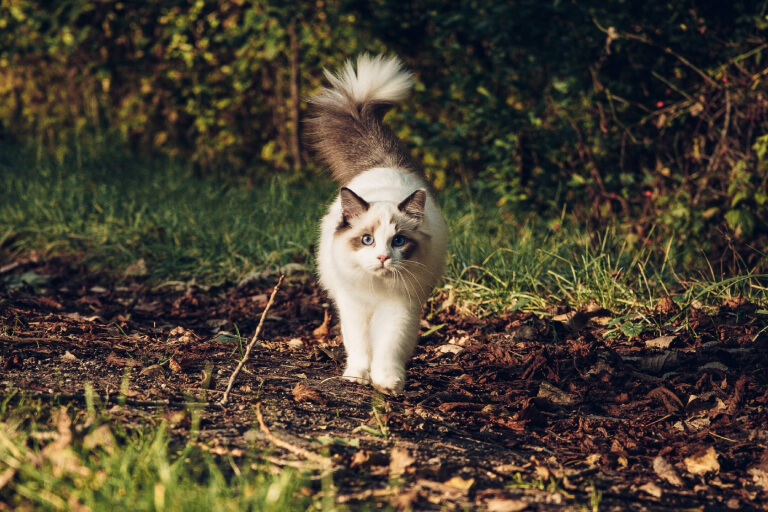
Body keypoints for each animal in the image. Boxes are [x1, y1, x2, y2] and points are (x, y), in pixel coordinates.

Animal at [308, 54, 450, 394]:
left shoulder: (400, 308)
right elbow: (359, 347)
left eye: (398, 241)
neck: (378, 289)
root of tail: (386, 164)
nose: (383, 257)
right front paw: (357, 376)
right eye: (367, 240)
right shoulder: (355, 307)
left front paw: (387, 383)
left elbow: (389, 348)